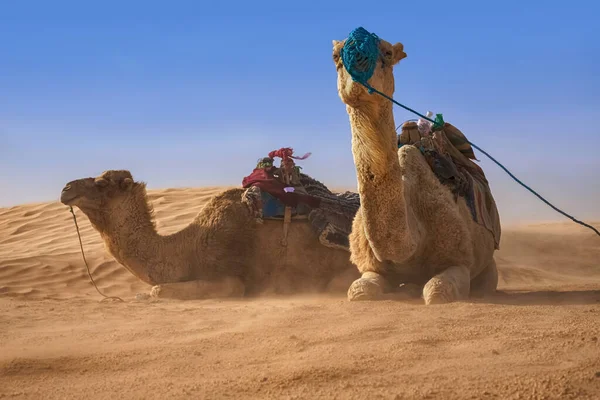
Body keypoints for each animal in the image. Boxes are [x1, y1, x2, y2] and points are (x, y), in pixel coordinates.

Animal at [332, 32, 502, 304]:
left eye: (388, 53)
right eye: (336, 55)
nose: (357, 60)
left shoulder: (459, 260)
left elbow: (436, 291)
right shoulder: (371, 267)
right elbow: (358, 291)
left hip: (488, 266)